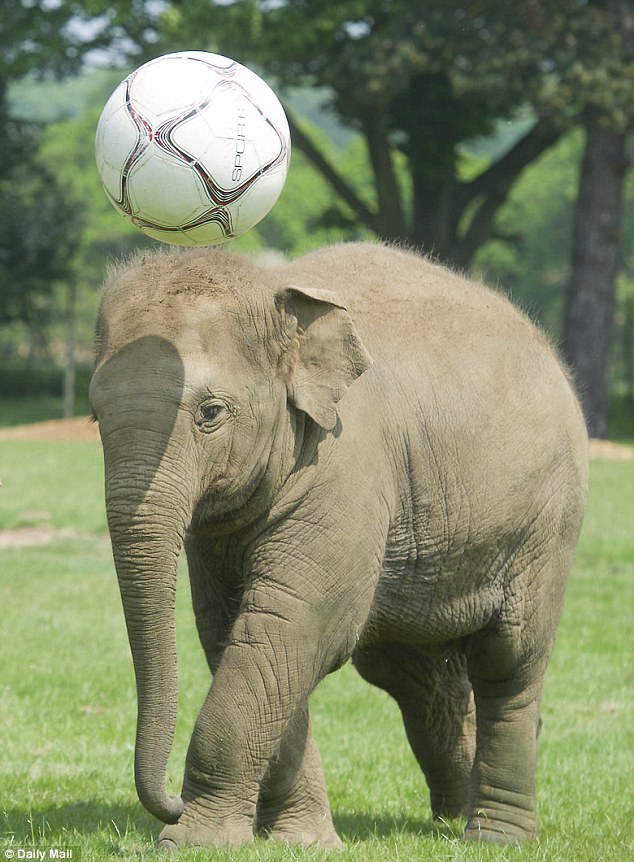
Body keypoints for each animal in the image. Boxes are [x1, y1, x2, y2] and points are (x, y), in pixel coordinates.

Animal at [90, 241, 588, 852]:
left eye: (211, 413)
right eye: (94, 416)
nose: (169, 801)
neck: (274, 288)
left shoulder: (348, 466)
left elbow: (295, 621)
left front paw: (193, 842)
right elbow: (236, 629)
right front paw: (300, 841)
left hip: (547, 524)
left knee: (509, 660)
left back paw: (494, 838)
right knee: (413, 674)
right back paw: (448, 815)